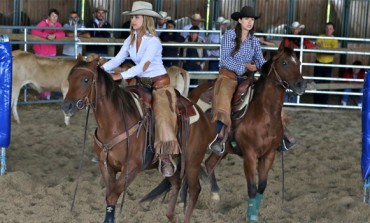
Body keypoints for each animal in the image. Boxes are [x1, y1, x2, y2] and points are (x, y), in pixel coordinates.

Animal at [60, 57, 214, 223]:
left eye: (85, 80)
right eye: (69, 79)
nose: (66, 106)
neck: (115, 123)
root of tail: (200, 114)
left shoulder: (131, 167)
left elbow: (112, 196)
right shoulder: (106, 166)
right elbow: (109, 195)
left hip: (192, 161)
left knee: (195, 190)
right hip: (169, 163)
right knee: (176, 183)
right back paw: (170, 216)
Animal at [188, 42, 306, 222]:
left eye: (298, 62)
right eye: (284, 63)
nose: (301, 85)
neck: (264, 114)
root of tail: (193, 94)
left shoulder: (269, 154)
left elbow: (261, 186)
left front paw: (254, 213)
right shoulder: (250, 154)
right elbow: (252, 187)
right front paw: (251, 216)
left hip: (222, 149)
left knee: (208, 164)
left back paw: (215, 195)